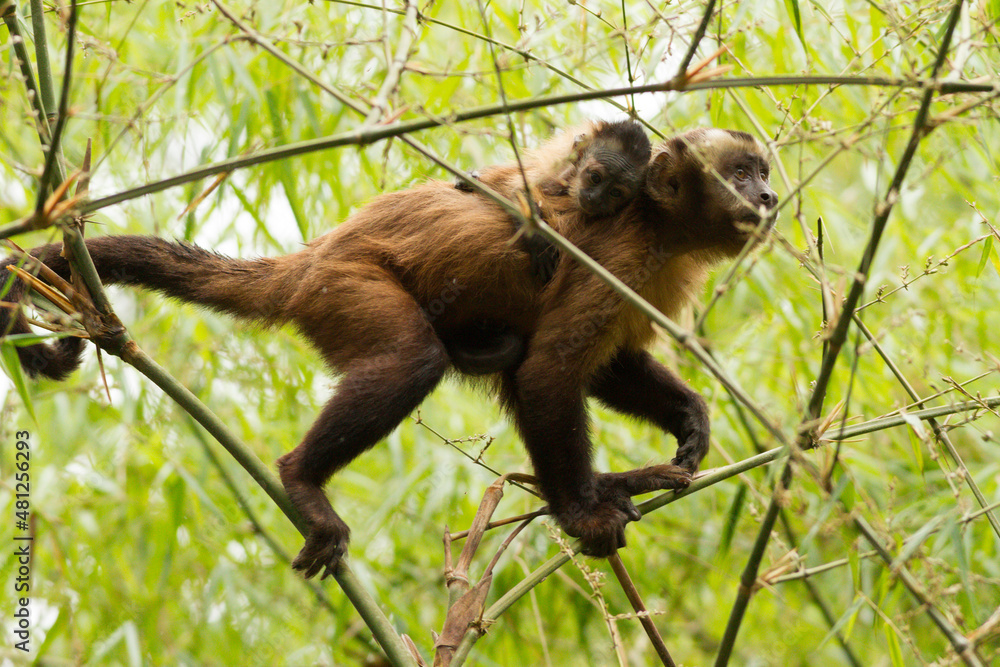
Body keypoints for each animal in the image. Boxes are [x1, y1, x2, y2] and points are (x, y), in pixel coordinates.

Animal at [1, 127, 777, 579]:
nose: (769, 197)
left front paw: (690, 420)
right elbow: (551, 370)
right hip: (347, 286)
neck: (658, 222)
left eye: (762, 173)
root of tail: (309, 260)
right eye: (742, 174)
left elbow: (606, 367)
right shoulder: (621, 251)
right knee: (415, 360)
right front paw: (581, 514)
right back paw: (303, 480)